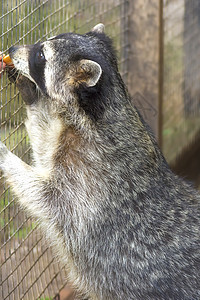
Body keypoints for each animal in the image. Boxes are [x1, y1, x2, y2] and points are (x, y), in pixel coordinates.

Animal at [0, 24, 200, 300]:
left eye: (40, 55)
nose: (12, 48)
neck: (101, 110)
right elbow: (45, 155)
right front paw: (31, 94)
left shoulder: (90, 176)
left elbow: (46, 195)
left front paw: (5, 154)